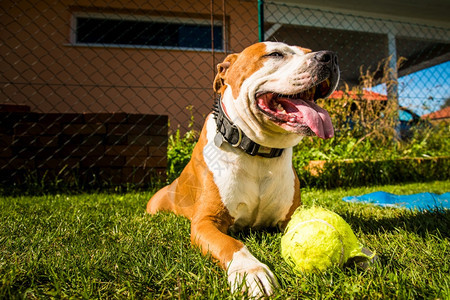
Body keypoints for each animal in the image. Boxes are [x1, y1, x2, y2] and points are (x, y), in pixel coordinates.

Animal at [146, 42, 340, 298]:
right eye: (275, 54)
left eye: (308, 51)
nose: (330, 57)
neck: (259, 151)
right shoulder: (206, 222)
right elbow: (231, 244)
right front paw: (251, 271)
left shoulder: (290, 216)